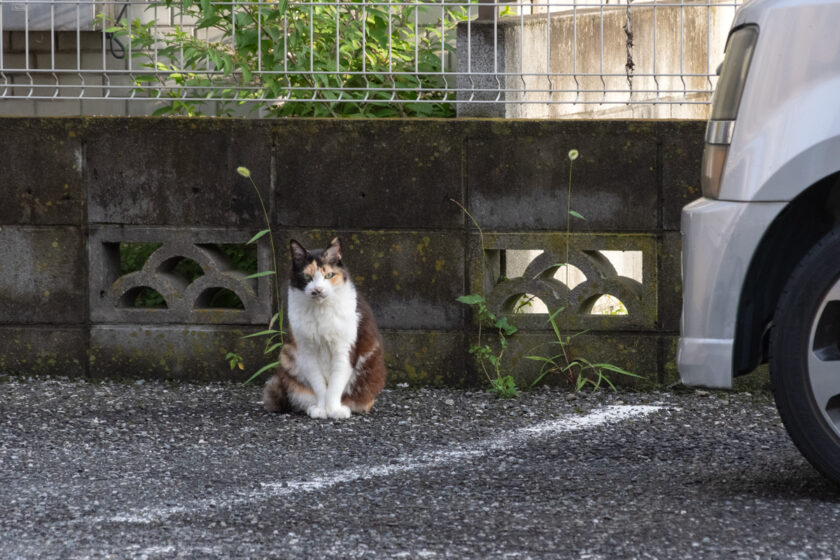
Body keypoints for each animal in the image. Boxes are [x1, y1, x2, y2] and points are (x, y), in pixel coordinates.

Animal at [262, 236, 388, 420]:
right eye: (307, 276)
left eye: (329, 275)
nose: (318, 290)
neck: (320, 311)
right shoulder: (308, 351)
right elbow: (319, 385)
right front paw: (322, 409)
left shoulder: (344, 350)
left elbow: (335, 384)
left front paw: (334, 410)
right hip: (287, 358)